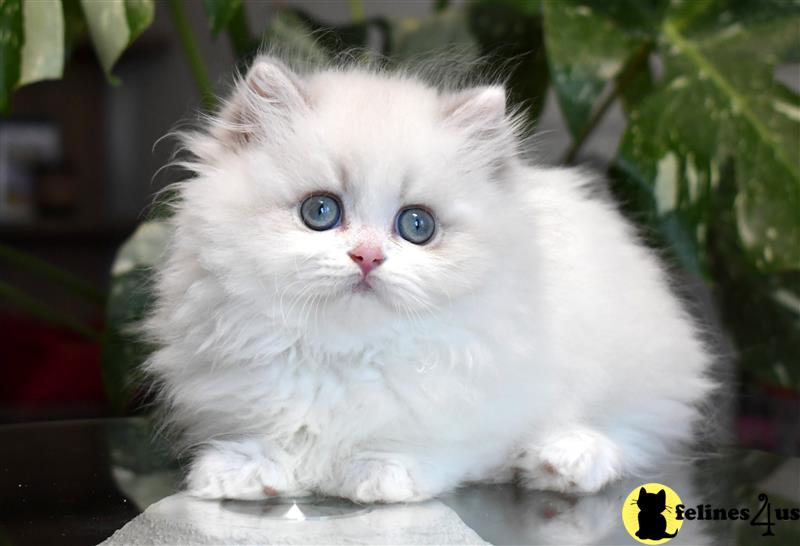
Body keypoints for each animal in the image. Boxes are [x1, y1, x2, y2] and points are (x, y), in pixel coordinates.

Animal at [147, 56, 716, 502]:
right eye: (320, 212)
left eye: (416, 226)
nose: (368, 257)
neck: (344, 354)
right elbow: (269, 439)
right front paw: (242, 472)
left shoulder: (476, 403)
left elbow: (426, 443)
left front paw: (378, 473)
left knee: (636, 429)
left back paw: (563, 460)